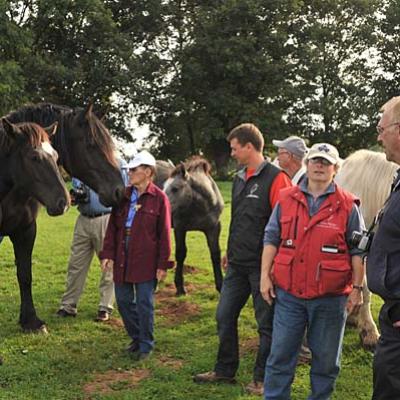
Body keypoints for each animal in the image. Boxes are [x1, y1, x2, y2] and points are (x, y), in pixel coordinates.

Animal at [0, 119, 69, 334]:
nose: (64, 203)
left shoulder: (26, 232)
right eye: (33, 157)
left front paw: (31, 321)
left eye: (55, 156)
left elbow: (25, 275)